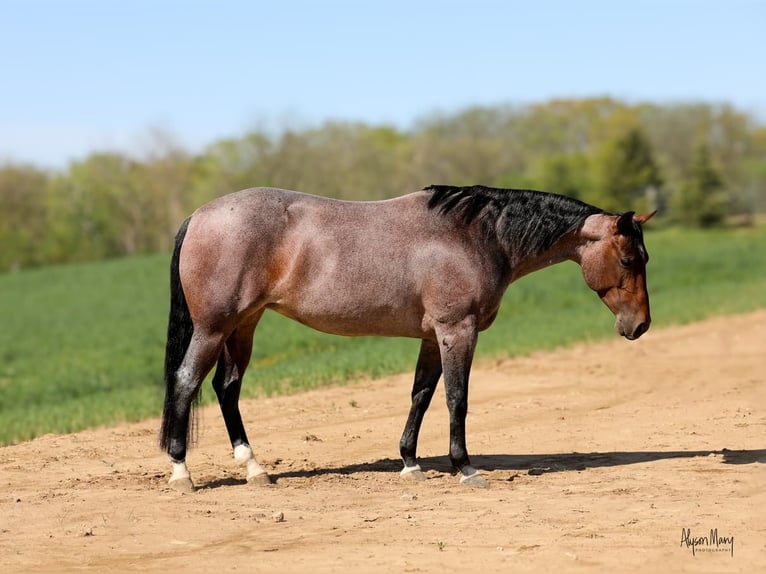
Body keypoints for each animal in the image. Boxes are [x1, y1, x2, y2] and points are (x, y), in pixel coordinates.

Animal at [160, 184, 656, 490]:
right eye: (629, 259)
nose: (640, 326)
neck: (473, 235)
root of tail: (198, 215)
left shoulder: (432, 337)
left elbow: (420, 394)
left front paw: (410, 463)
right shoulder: (457, 330)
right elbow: (457, 398)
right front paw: (465, 467)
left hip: (244, 324)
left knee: (227, 388)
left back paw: (255, 469)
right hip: (214, 328)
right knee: (186, 381)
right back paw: (182, 473)